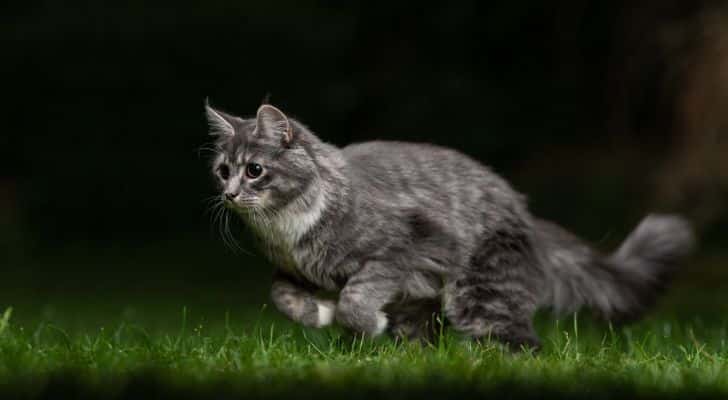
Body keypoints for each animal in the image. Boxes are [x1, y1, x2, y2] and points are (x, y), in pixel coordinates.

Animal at [203, 102, 692, 350]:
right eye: (223, 171)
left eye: (254, 171)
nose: (229, 195)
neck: (285, 228)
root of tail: (527, 216)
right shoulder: (290, 270)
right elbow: (281, 296)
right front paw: (317, 314)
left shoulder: (396, 249)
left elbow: (355, 299)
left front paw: (362, 323)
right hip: (422, 305)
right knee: (427, 340)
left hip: (479, 299)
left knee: (524, 343)